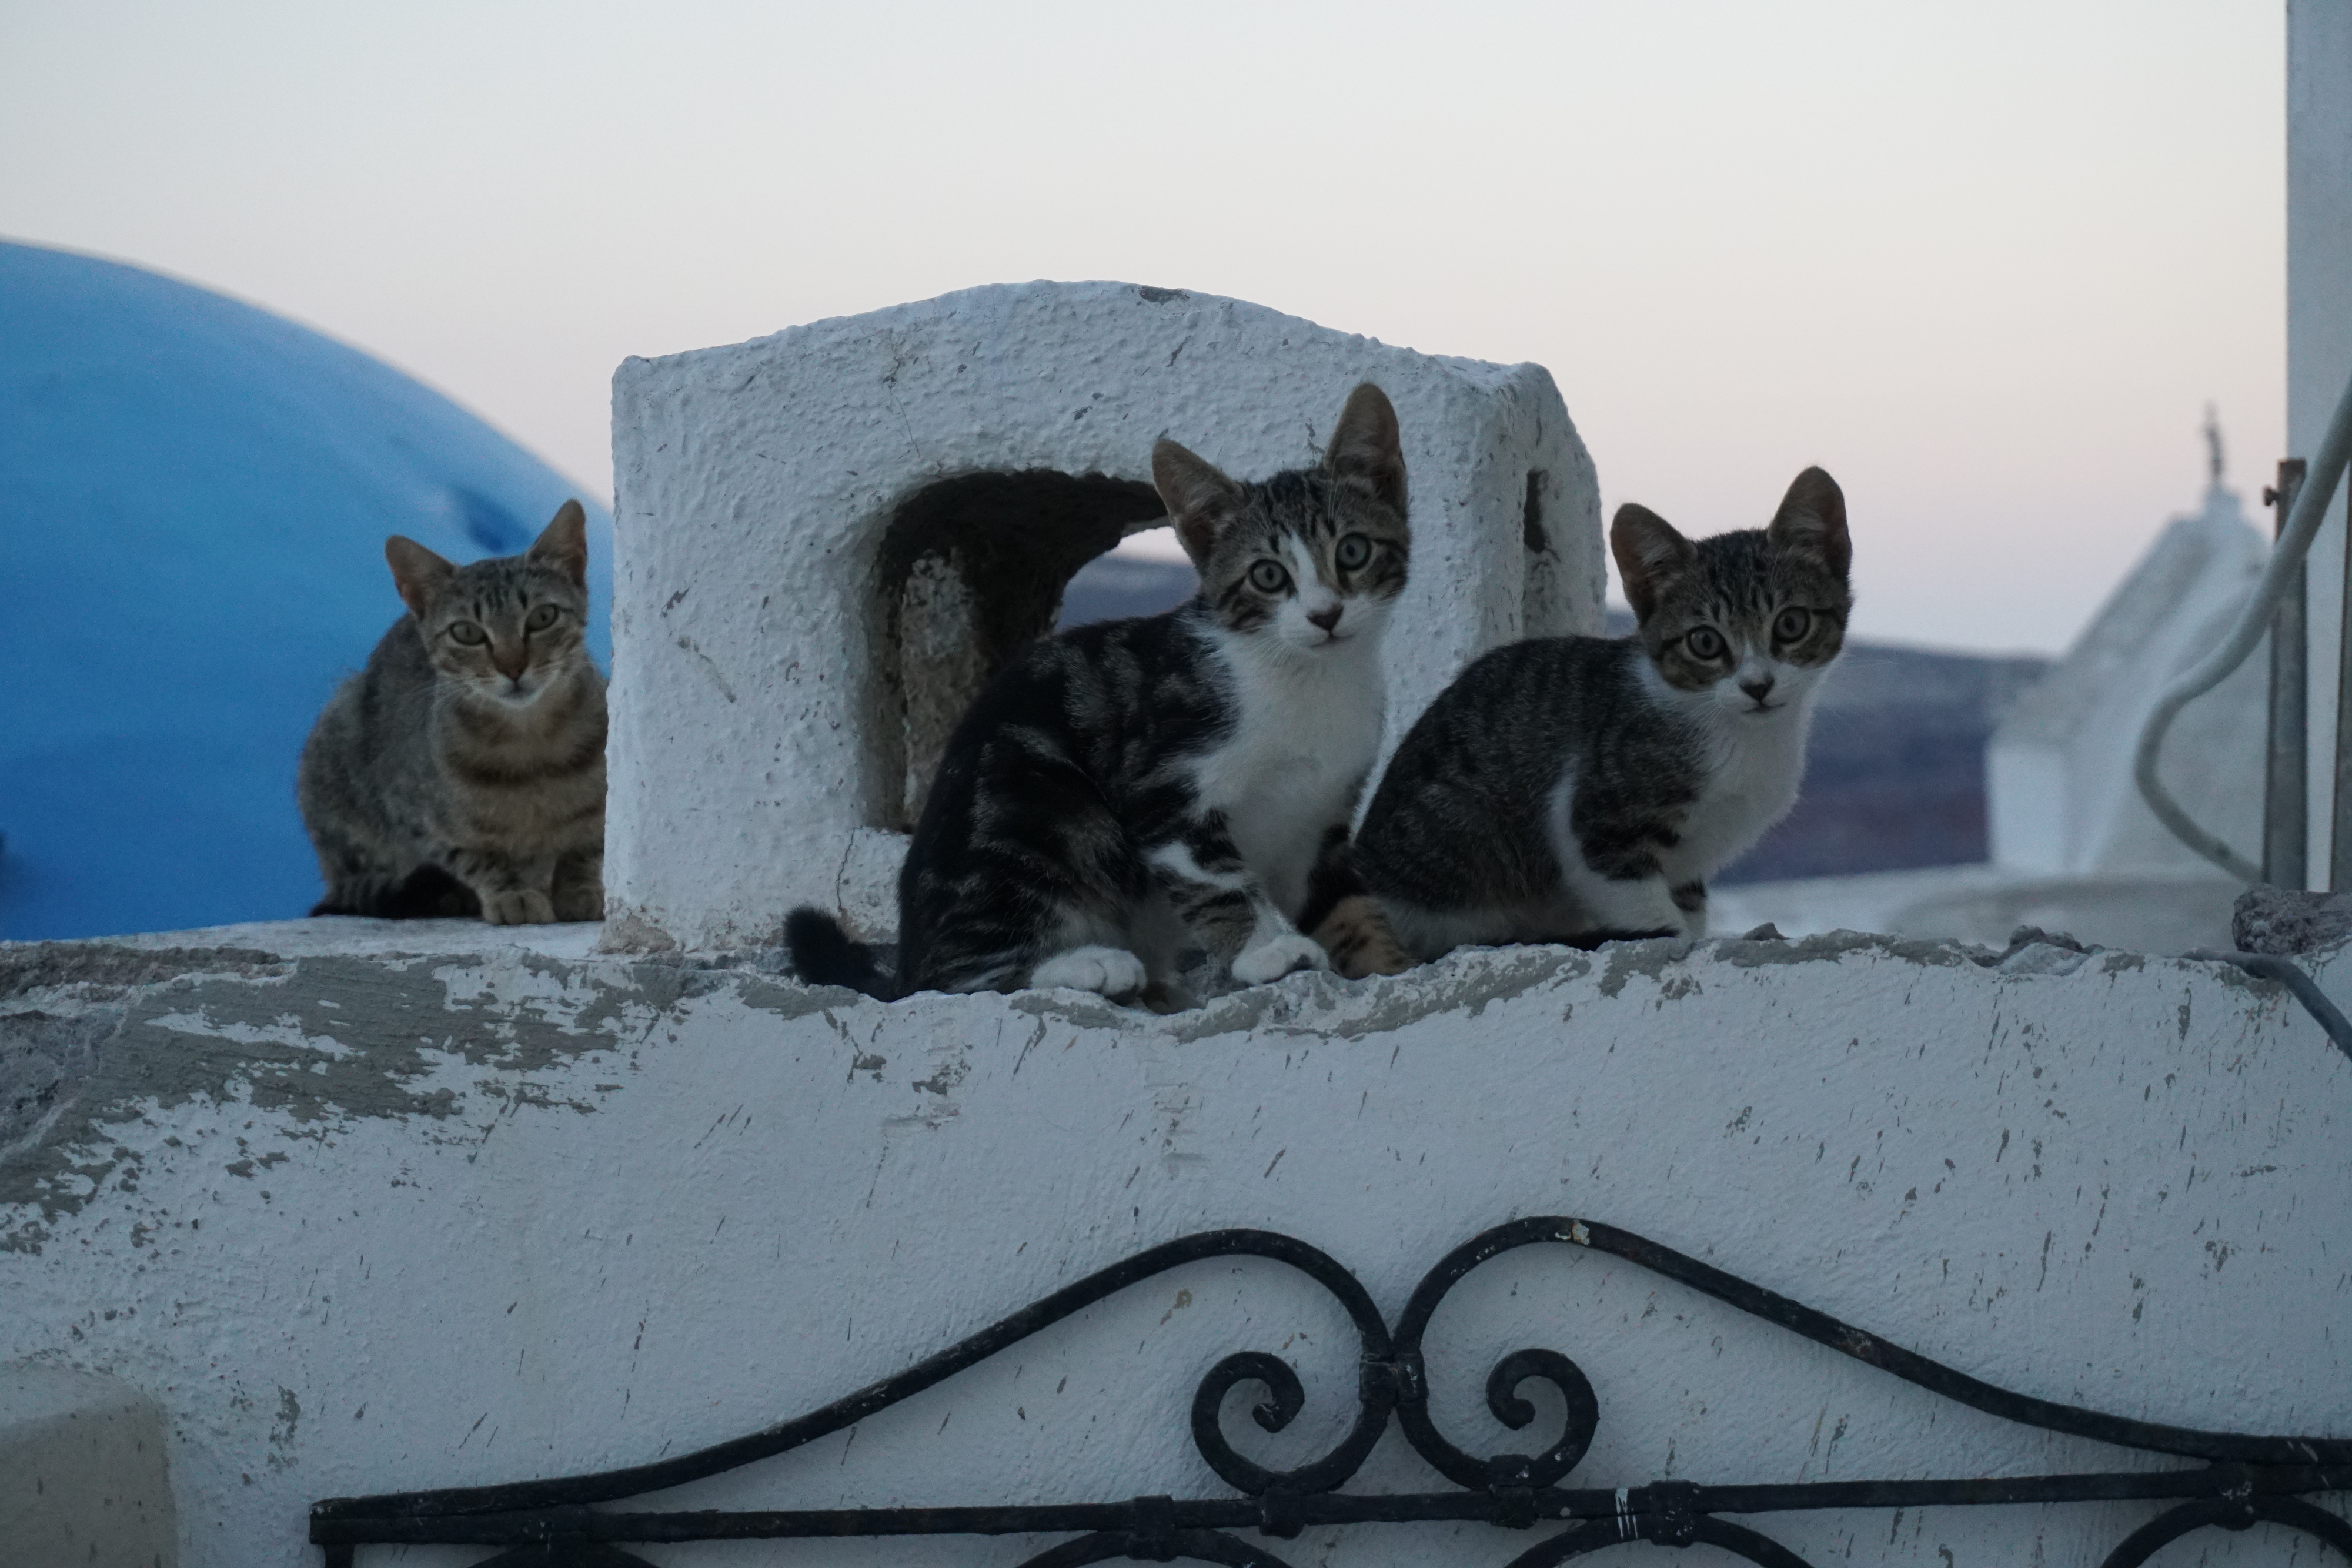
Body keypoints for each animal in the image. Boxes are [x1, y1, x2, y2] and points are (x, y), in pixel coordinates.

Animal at [299, 503, 607, 926]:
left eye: (543, 617)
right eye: (467, 632)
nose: (513, 667)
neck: (530, 748)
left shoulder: (604, 802)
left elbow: (586, 847)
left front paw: (579, 890)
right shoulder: (415, 818)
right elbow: (475, 857)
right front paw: (512, 893)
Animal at [790, 385, 1411, 1011]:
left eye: (1353, 552)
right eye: (1267, 575)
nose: (1325, 614)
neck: (1308, 677)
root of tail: (906, 959)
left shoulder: (1319, 828)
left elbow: (1350, 908)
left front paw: (1388, 966)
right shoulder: (1162, 787)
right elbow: (1218, 881)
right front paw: (1267, 949)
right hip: (1040, 806)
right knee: (955, 980)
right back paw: (1091, 964)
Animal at [1355, 465, 1844, 959]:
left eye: (1791, 623)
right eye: (1705, 642)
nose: (1757, 685)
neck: (1745, 736)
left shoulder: (1687, 867)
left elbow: (1688, 905)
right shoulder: (1594, 818)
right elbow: (1648, 911)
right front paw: (1674, 938)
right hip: (1463, 829)